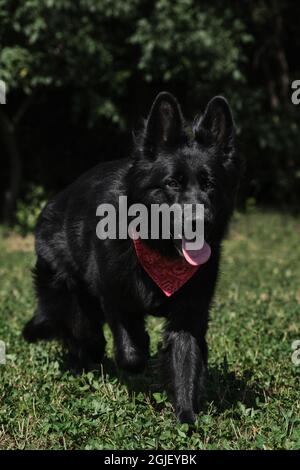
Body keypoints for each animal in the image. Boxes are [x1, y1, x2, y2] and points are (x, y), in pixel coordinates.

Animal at [22, 91, 241, 422]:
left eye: (209, 184)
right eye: (172, 183)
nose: (199, 221)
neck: (159, 251)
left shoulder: (189, 315)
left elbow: (186, 363)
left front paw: (187, 418)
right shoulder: (113, 296)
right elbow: (131, 353)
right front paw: (140, 355)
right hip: (68, 297)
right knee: (84, 336)